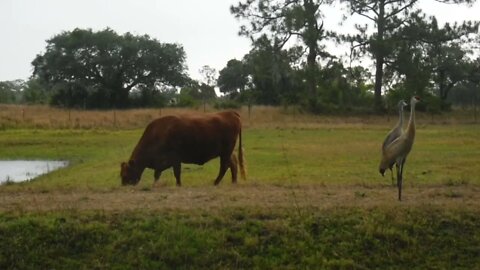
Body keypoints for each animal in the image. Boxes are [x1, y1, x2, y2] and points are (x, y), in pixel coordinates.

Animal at [120, 110, 248, 187]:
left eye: (125, 174)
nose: (124, 186)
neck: (157, 133)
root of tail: (230, 113)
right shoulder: (162, 163)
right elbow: (157, 174)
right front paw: (155, 185)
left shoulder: (175, 159)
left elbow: (176, 173)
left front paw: (178, 185)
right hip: (227, 152)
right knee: (233, 164)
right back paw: (233, 181)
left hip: (225, 152)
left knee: (224, 166)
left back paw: (216, 182)